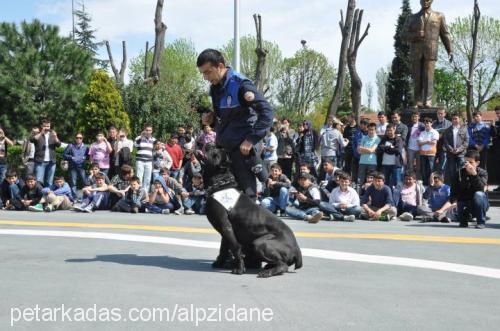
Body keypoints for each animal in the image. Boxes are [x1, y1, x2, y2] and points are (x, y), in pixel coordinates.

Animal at [201, 148, 302, 278]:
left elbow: (235, 247)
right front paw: (219, 263)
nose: (209, 145)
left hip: (260, 243)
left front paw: (239, 268)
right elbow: (223, 248)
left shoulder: (225, 227)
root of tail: (297, 250)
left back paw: (267, 272)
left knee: (282, 265)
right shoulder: (226, 230)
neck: (220, 183)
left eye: (215, 154)